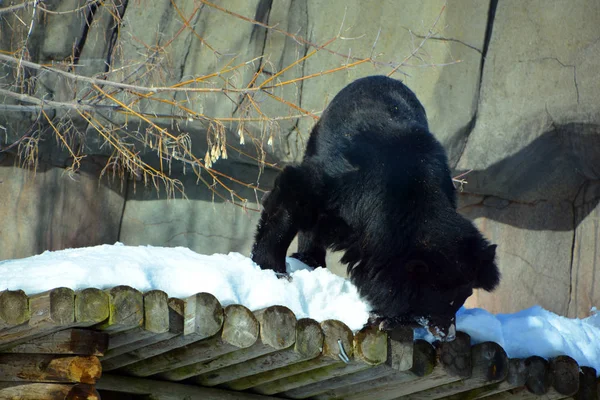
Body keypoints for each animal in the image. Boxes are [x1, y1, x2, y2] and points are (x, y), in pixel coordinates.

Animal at [251, 76, 500, 340]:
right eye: (438, 301)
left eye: (463, 297)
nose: (447, 334)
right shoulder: (342, 186)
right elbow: (296, 192)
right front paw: (273, 271)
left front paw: (385, 318)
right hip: (317, 140)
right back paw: (308, 258)